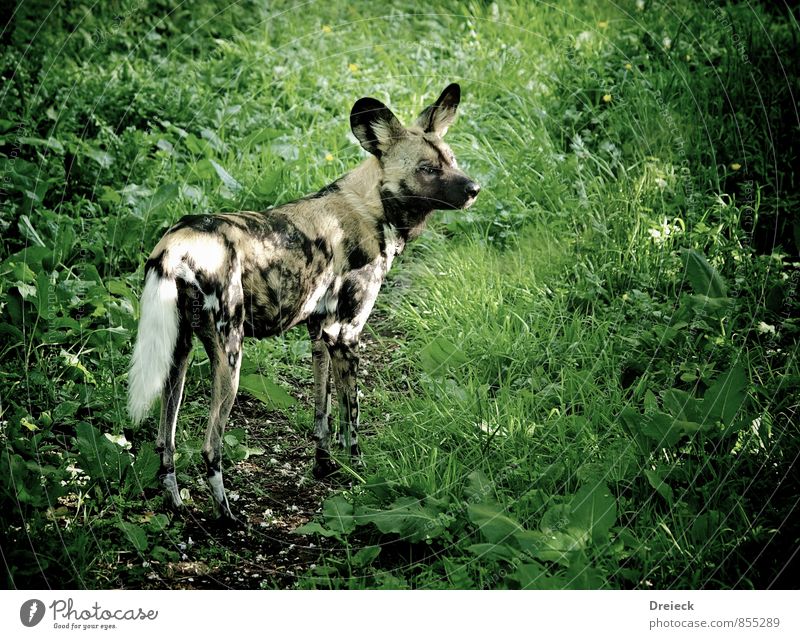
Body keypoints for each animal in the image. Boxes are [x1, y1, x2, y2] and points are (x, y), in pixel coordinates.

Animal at [129, 84, 482, 520]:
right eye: (427, 169)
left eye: (451, 161)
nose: (474, 189)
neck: (371, 206)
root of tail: (175, 245)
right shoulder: (346, 336)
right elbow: (351, 418)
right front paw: (358, 474)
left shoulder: (321, 334)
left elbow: (322, 413)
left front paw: (323, 464)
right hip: (230, 356)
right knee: (210, 448)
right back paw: (228, 518)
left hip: (178, 354)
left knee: (166, 441)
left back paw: (176, 504)